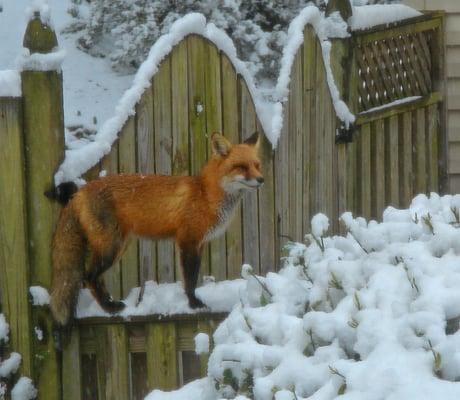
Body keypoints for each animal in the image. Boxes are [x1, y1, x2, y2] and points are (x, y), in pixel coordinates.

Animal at [47, 133, 262, 326]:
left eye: (257, 165)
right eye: (241, 167)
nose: (262, 180)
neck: (206, 195)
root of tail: (78, 193)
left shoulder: (199, 243)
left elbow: (192, 276)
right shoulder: (187, 240)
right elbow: (190, 279)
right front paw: (194, 305)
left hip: (119, 246)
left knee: (91, 278)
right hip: (111, 248)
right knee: (88, 277)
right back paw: (110, 308)